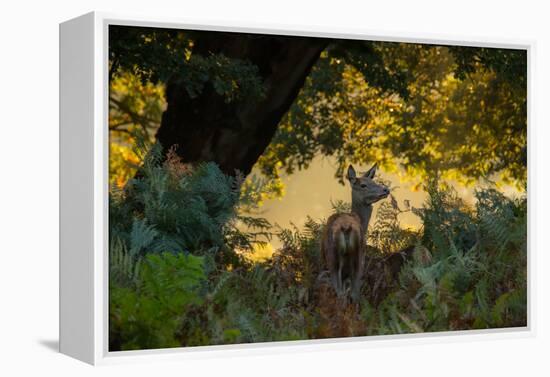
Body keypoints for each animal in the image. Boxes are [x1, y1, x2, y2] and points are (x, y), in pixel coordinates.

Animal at [324, 163, 392, 302]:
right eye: (363, 185)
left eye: (373, 181)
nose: (386, 190)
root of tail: (345, 228)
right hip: (357, 255)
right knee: (353, 293)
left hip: (333, 259)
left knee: (341, 293)